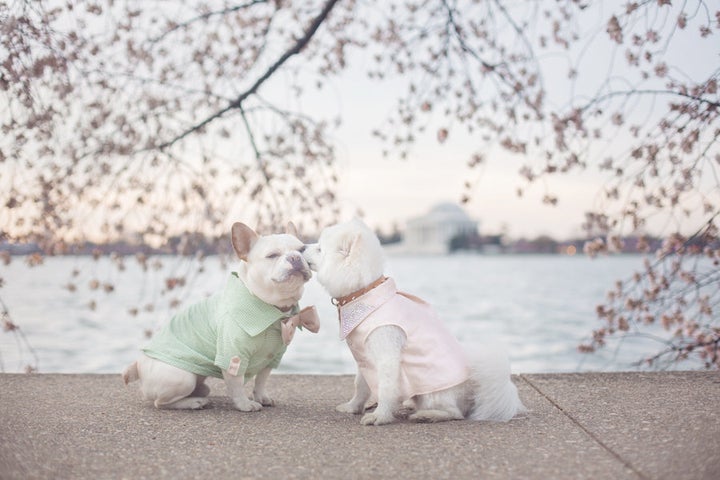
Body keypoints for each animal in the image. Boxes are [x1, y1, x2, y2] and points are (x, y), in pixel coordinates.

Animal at [122, 223, 320, 410]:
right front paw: (244, 404)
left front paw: (261, 397)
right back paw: (194, 402)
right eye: (272, 255)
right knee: (160, 402)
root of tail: (138, 365)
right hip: (182, 378)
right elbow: (237, 384)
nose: (295, 257)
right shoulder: (233, 355)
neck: (271, 307)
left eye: (302, 250)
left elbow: (261, 380)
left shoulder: (272, 357)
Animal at [300, 219, 524, 426]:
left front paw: (380, 416)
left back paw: (428, 415)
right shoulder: (364, 358)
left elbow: (386, 389)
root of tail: (473, 393)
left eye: (319, 248)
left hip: (434, 392)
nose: (301, 247)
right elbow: (360, 385)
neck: (363, 293)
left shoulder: (387, 355)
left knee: (454, 413)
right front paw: (353, 407)